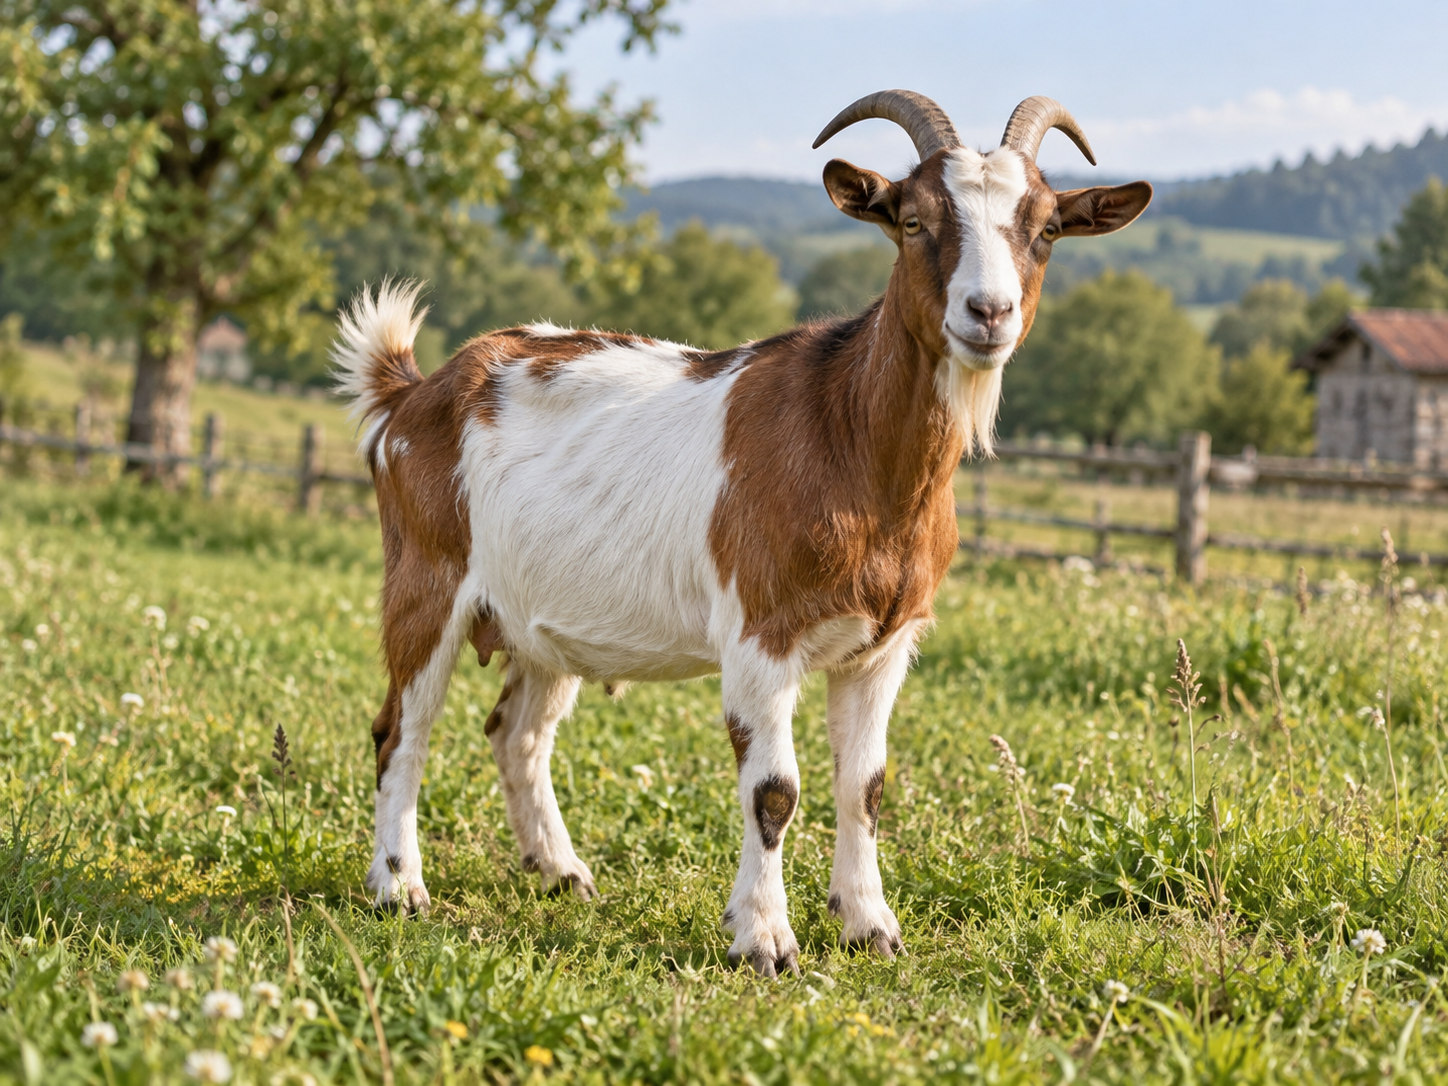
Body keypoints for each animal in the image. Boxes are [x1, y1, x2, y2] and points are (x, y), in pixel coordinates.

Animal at [333, 91, 1151, 976]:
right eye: (912, 220)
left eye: (1045, 228)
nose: (988, 313)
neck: (850, 440)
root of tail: (414, 392)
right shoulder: (764, 632)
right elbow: (775, 791)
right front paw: (763, 939)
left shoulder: (886, 644)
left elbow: (866, 786)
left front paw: (871, 926)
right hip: (427, 582)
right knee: (400, 730)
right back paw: (399, 886)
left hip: (539, 620)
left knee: (516, 734)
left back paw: (560, 872)